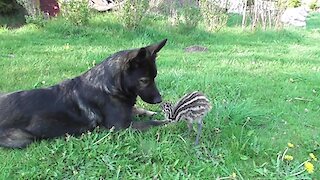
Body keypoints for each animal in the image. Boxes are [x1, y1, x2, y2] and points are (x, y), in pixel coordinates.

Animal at [0, 39, 169, 148]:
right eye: (144, 80)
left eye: (154, 77)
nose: (159, 100)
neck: (110, 85)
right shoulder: (122, 126)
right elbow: (155, 123)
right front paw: (168, 122)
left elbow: (138, 109)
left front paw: (150, 112)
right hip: (23, 139)